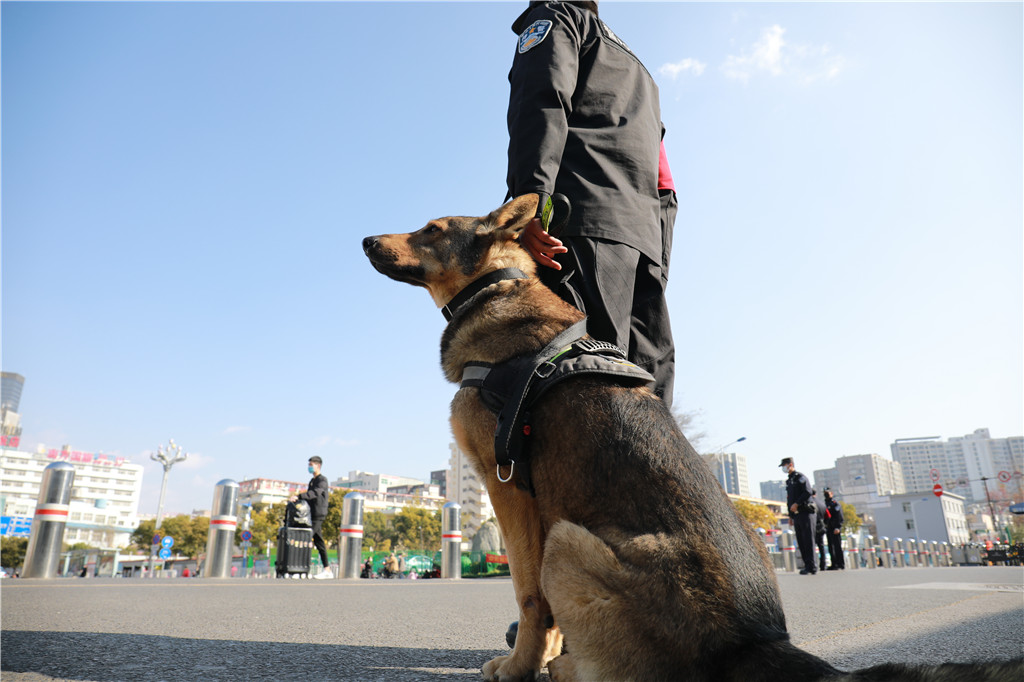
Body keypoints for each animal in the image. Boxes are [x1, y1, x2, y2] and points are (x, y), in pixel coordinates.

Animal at [364, 192, 1019, 679]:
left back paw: (569, 668)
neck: (497, 289)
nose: (366, 240)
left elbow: (529, 599)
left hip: (567, 543)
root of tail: (754, 643)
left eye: (429, 229)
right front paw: (540, 654)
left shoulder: (510, 491)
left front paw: (521, 665)